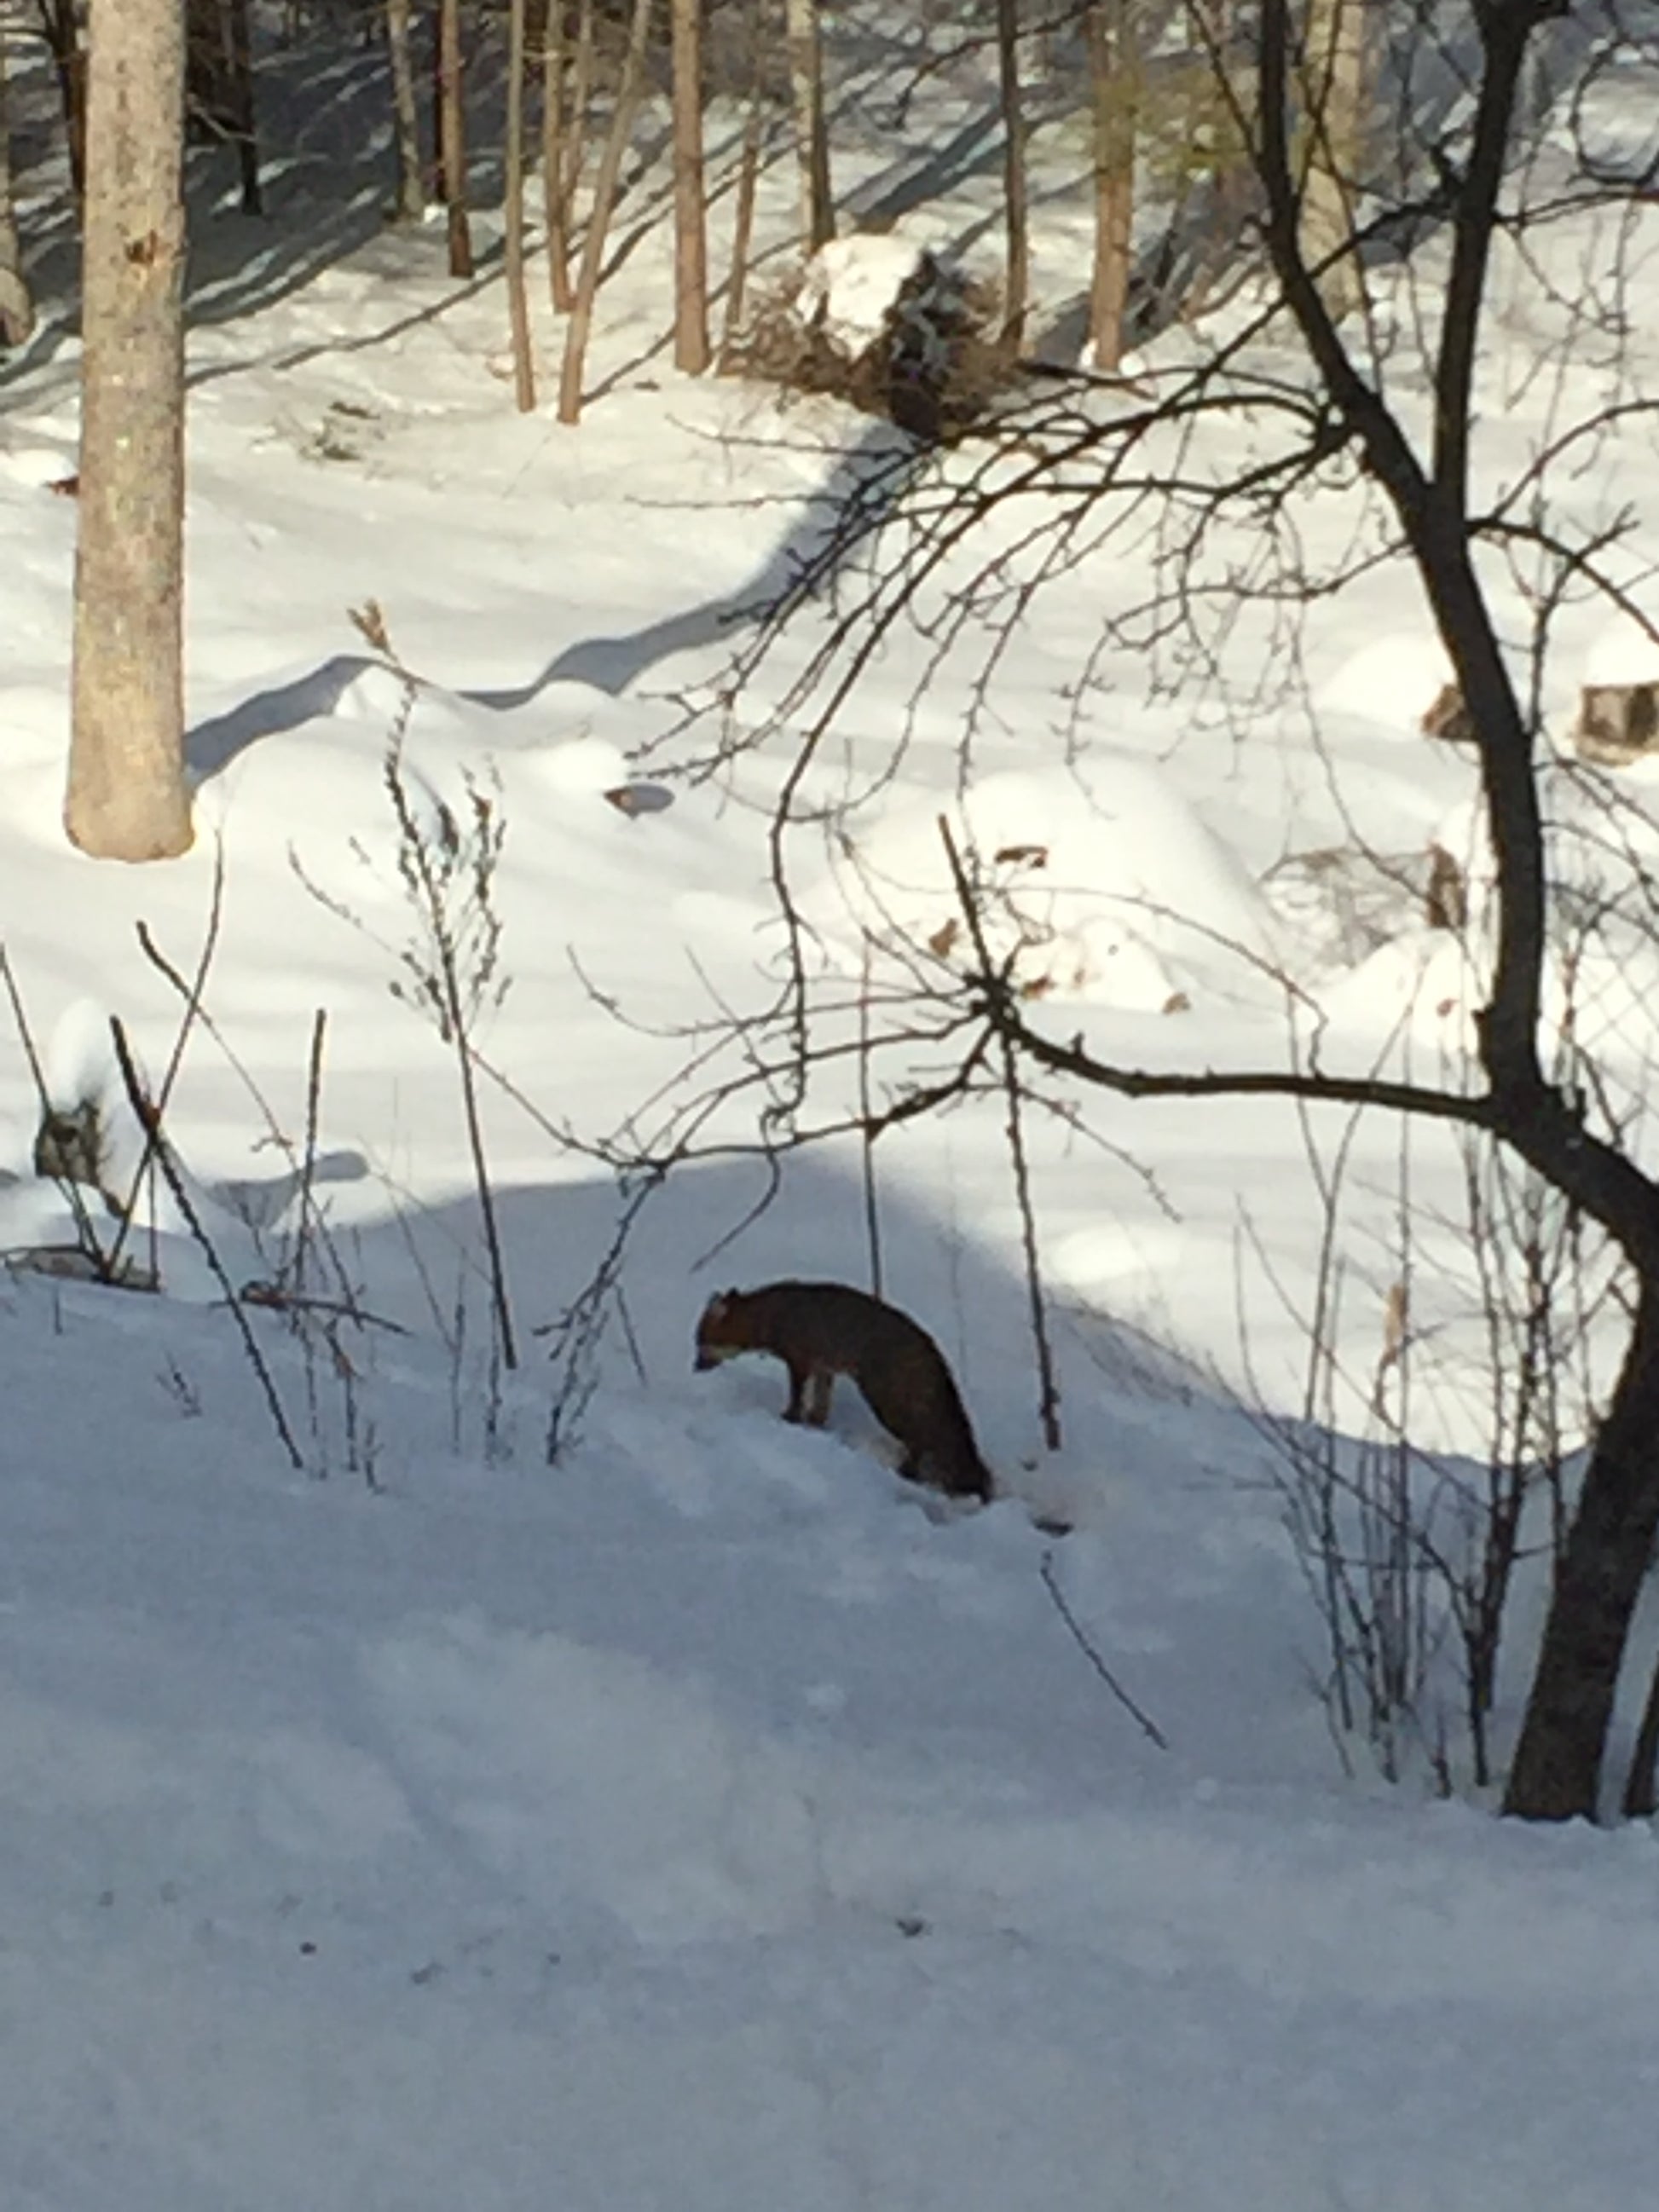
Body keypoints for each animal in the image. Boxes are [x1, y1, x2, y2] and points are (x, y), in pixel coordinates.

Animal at [693, 1279, 995, 1503]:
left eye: (702, 1344)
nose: (694, 1368)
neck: (773, 1312)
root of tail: (928, 1343)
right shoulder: (823, 1369)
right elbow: (820, 1406)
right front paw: (815, 1426)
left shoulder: (800, 1362)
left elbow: (797, 1399)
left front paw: (790, 1419)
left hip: (884, 1404)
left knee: (922, 1441)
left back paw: (905, 1473)